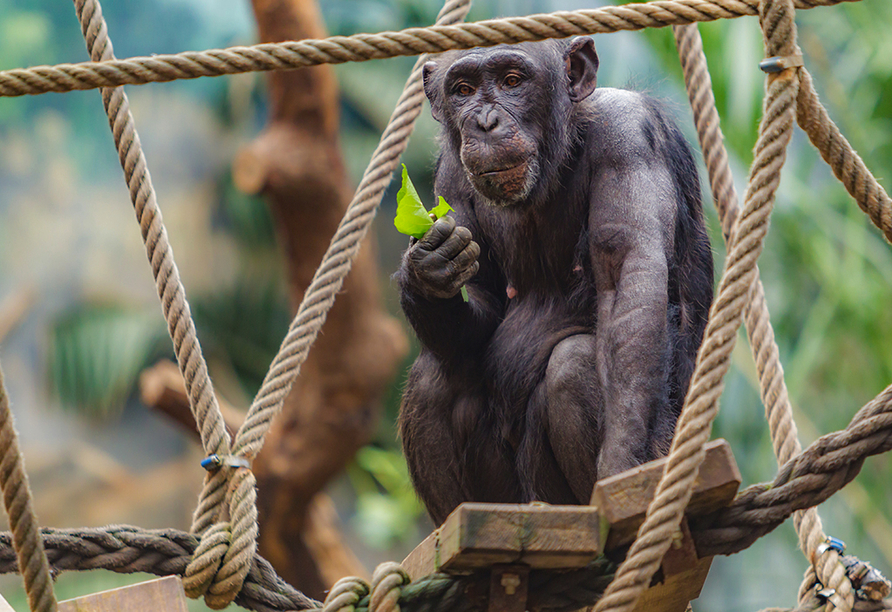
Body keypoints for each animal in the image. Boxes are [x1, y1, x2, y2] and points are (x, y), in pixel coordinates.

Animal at [396, 35, 712, 524]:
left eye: (512, 81)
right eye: (463, 89)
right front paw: (427, 271)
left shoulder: (628, 138)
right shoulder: (451, 174)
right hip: (508, 494)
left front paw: (621, 473)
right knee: (435, 376)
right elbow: (485, 303)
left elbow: (629, 278)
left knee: (573, 365)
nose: (485, 122)